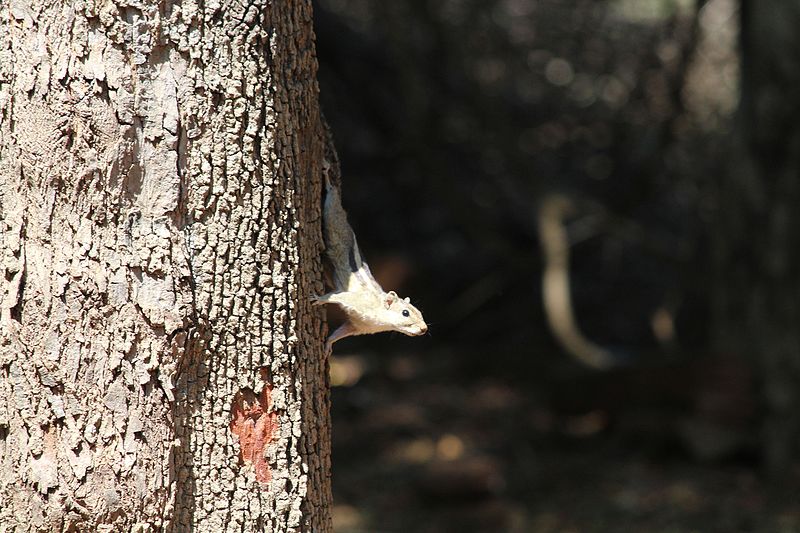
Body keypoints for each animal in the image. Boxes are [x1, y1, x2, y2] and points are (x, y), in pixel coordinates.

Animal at [312, 155, 428, 354]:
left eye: (419, 312)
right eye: (405, 313)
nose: (424, 328)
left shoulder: (357, 326)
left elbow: (341, 332)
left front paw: (328, 345)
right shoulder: (357, 301)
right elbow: (337, 297)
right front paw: (318, 298)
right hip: (333, 220)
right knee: (332, 198)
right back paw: (327, 176)